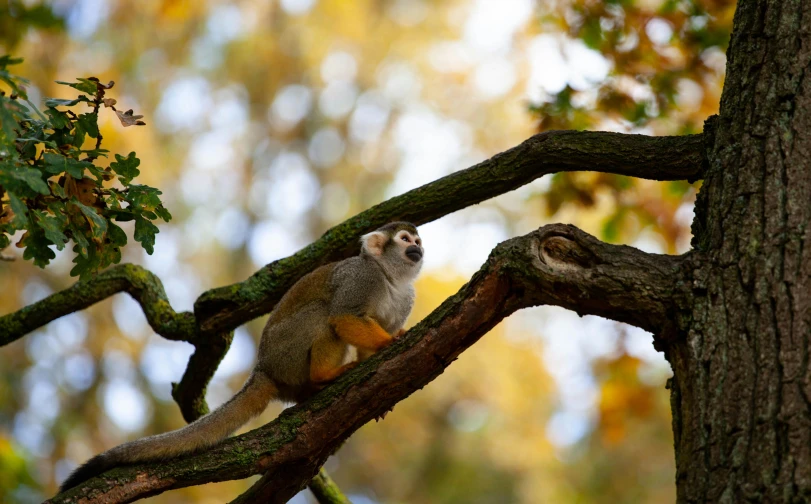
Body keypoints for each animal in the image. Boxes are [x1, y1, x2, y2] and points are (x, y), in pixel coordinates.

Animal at [58, 221, 426, 492]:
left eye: (417, 240)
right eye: (405, 239)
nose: (418, 249)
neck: (390, 279)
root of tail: (262, 368)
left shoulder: (405, 297)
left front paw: (376, 361)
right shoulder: (362, 278)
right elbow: (343, 316)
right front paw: (388, 342)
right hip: (284, 352)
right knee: (323, 313)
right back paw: (323, 376)